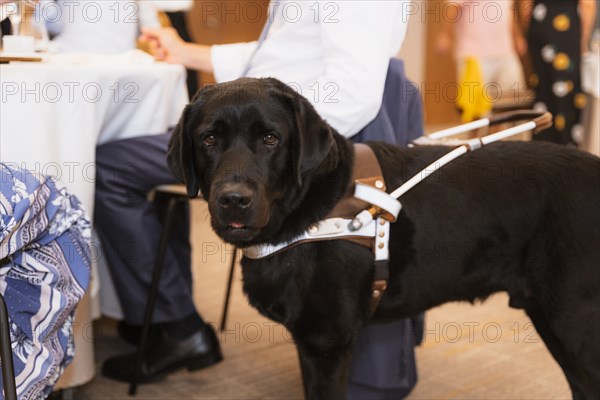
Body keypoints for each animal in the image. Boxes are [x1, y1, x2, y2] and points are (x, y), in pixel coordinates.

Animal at [168, 76, 600, 398]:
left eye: (271, 139)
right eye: (208, 139)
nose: (233, 199)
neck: (309, 211)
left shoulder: (326, 343)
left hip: (573, 319)